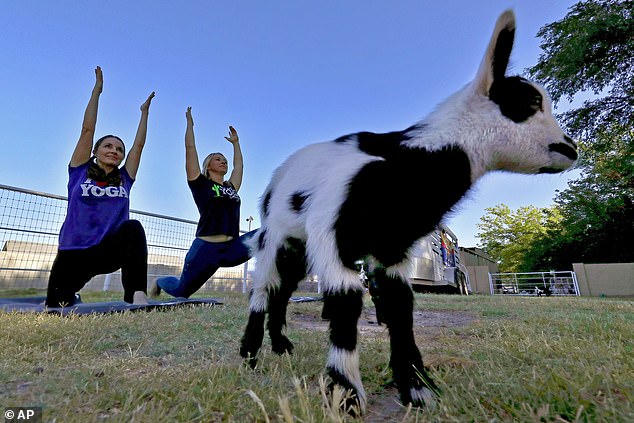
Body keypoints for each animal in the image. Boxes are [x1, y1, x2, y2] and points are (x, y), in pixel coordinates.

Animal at [237, 9, 572, 414]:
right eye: (529, 103)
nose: (571, 149)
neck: (405, 166)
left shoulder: (391, 249)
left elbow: (400, 305)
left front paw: (415, 387)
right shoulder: (334, 233)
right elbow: (347, 301)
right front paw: (346, 393)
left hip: (299, 247)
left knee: (284, 288)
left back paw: (279, 346)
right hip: (275, 235)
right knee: (264, 287)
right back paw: (250, 354)